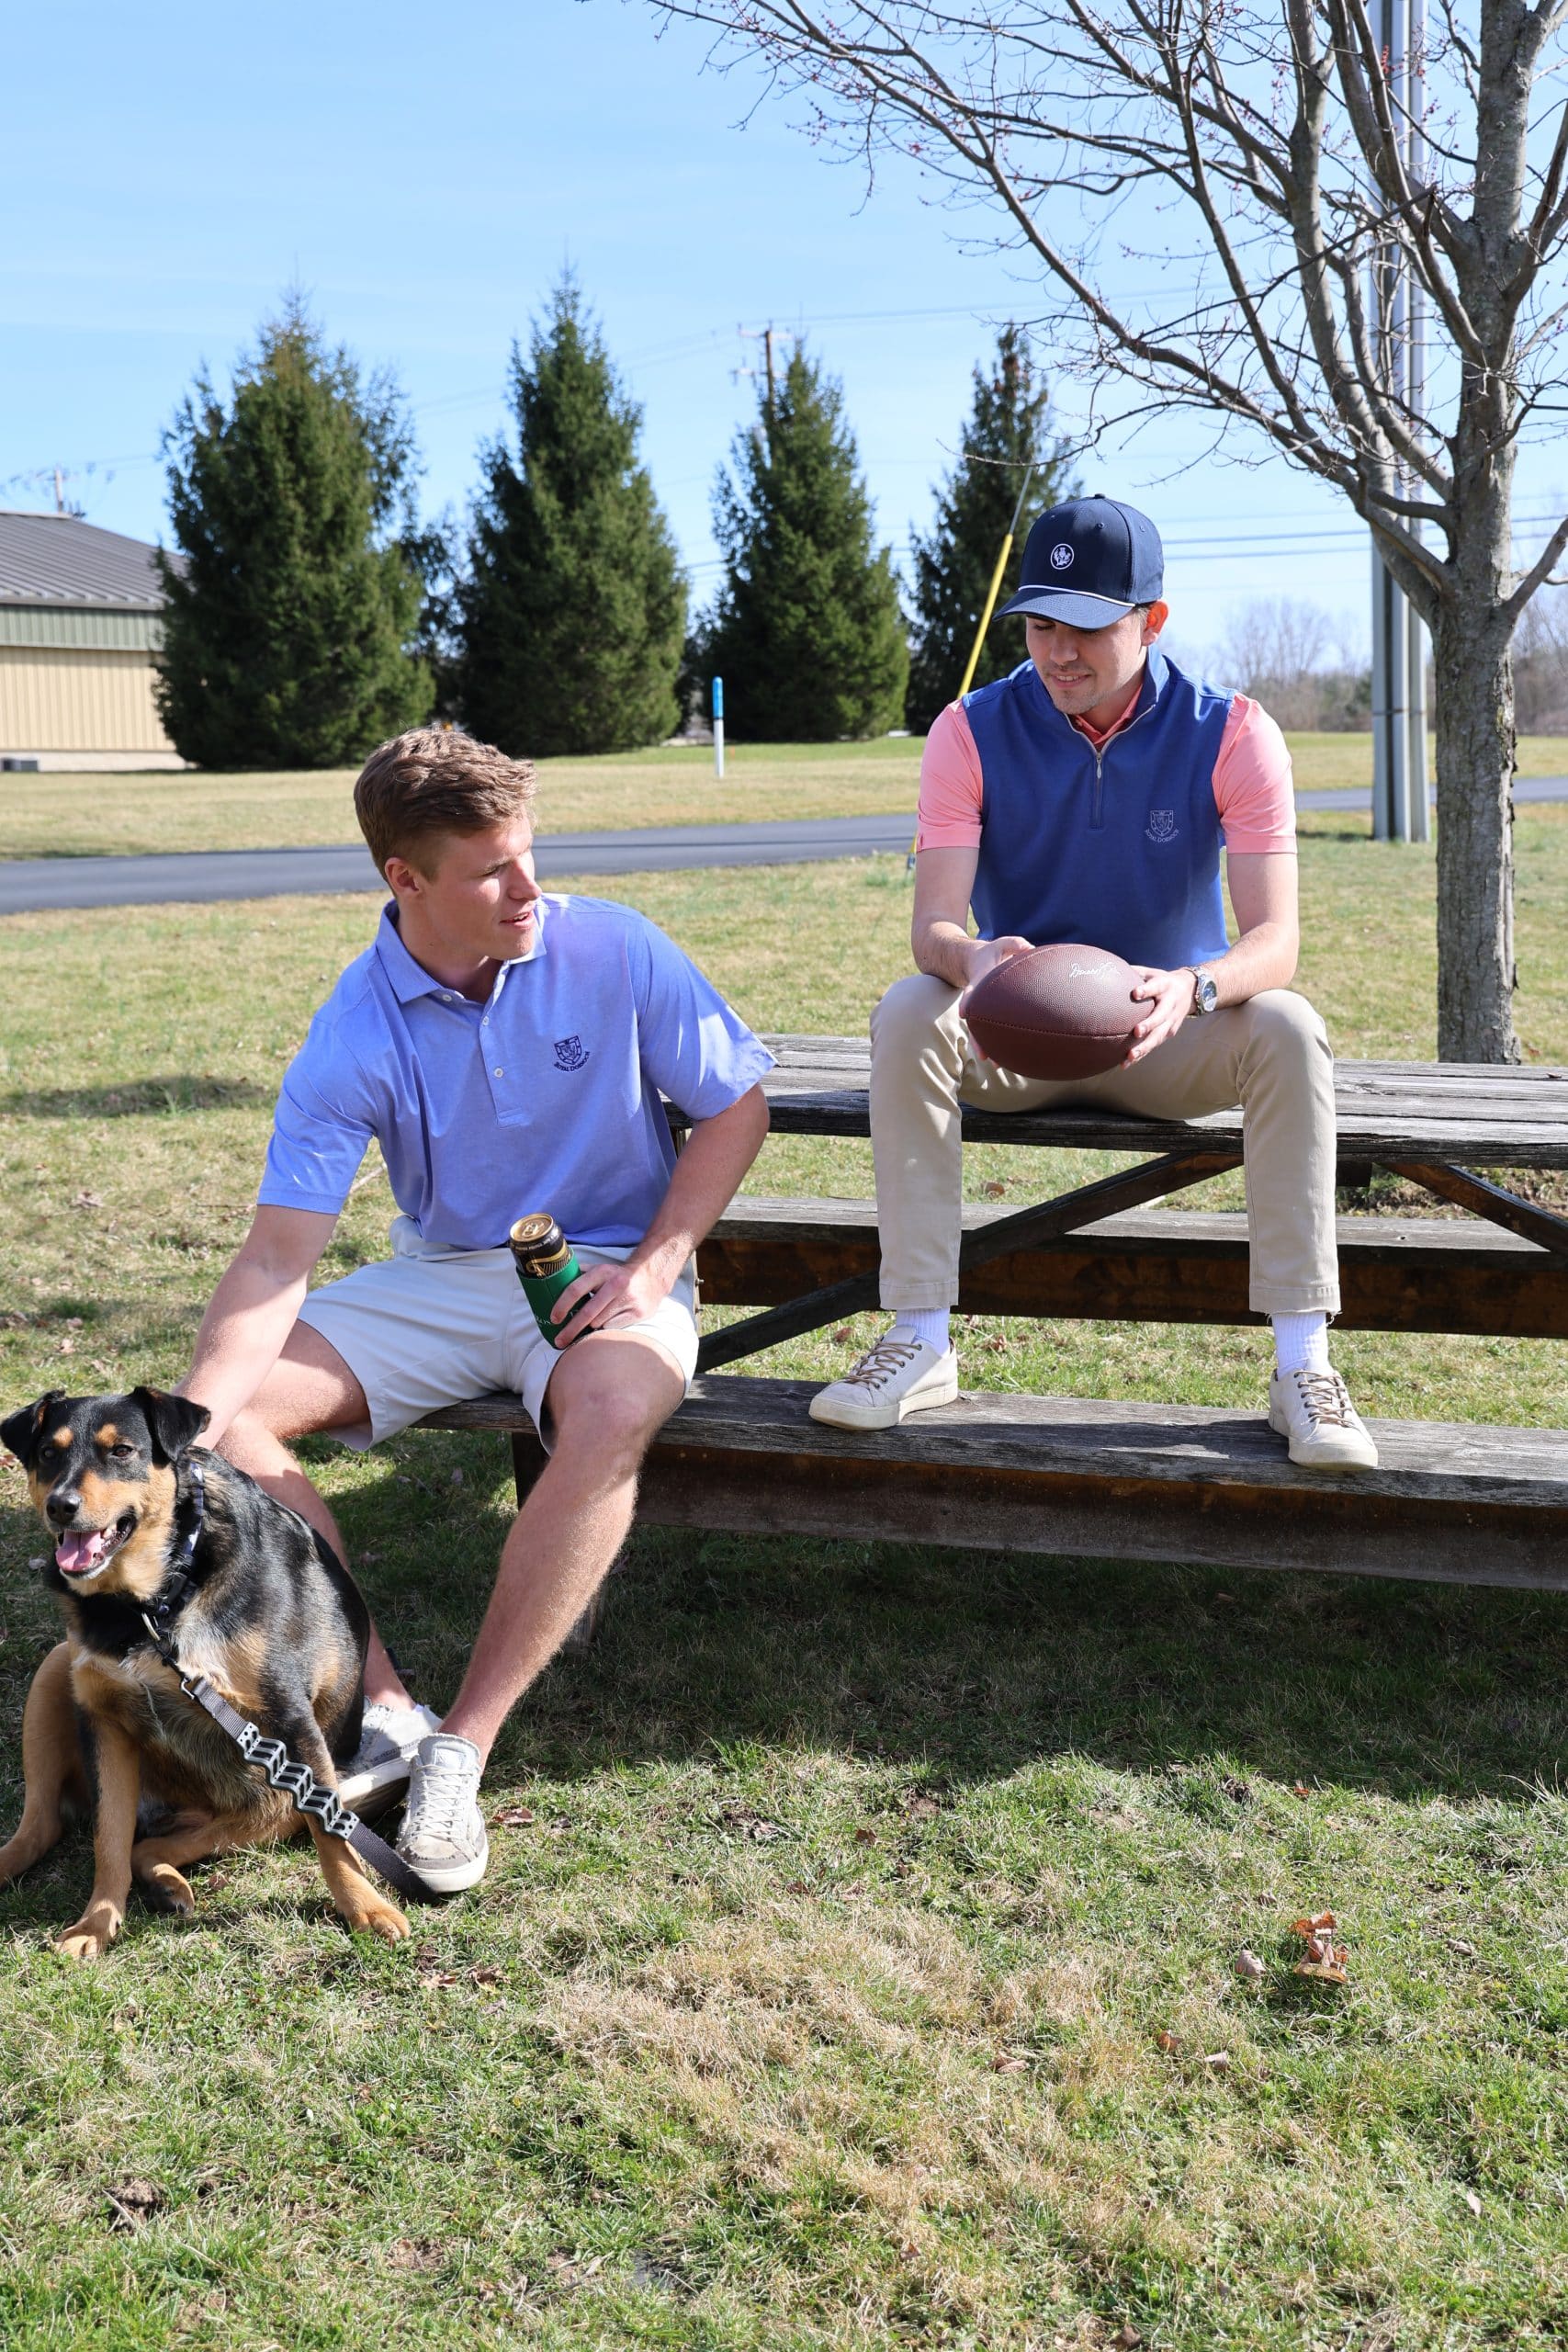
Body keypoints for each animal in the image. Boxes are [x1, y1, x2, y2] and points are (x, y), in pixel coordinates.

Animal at [0, 1383, 411, 1956]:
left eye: (121, 1451)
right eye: (46, 1453)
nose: (62, 1505)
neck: (155, 1601)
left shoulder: (290, 1722)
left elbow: (330, 1833)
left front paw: (367, 1910)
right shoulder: (104, 1724)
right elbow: (108, 1842)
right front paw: (95, 1926)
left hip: (272, 1807)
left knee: (149, 1846)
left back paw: (169, 1884)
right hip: (55, 1671)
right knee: (47, 1827)